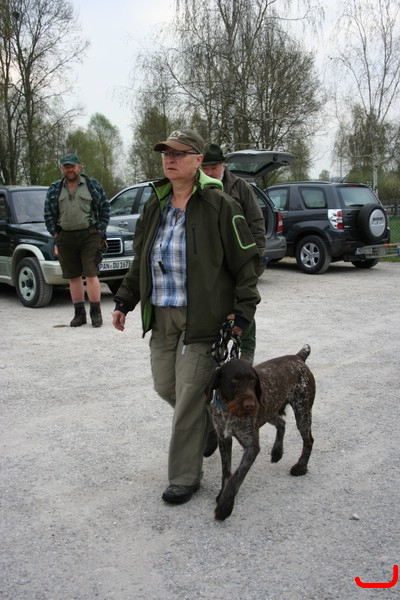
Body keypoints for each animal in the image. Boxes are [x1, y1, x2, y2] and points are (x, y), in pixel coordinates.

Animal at [206, 344, 315, 520]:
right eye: (234, 380)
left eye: (253, 380)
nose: (251, 405)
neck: (230, 412)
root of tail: (298, 357)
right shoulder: (224, 439)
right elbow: (226, 472)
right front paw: (222, 494)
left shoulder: (251, 447)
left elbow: (236, 477)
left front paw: (225, 507)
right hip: (269, 410)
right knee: (282, 423)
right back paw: (277, 452)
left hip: (302, 412)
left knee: (309, 440)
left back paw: (300, 466)